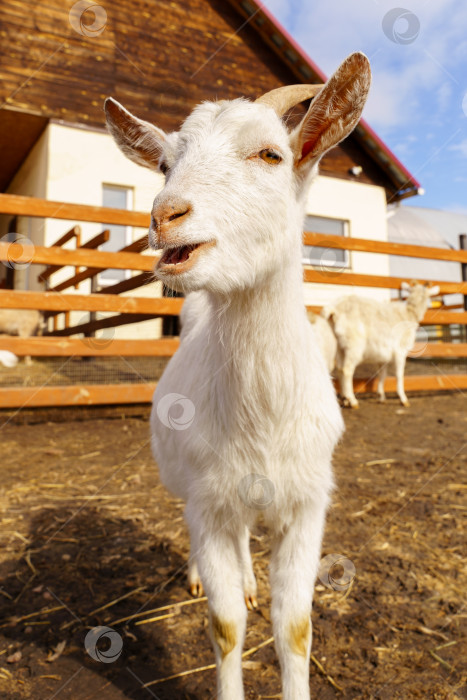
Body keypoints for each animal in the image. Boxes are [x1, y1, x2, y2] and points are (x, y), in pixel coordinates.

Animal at [104, 50, 372, 700]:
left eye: (270, 155)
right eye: (165, 165)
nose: (165, 215)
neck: (264, 415)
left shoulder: (306, 504)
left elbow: (296, 627)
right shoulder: (209, 502)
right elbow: (225, 628)